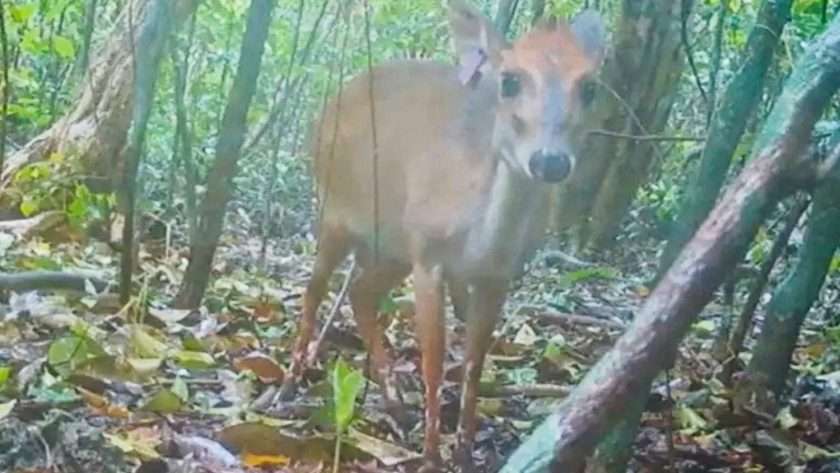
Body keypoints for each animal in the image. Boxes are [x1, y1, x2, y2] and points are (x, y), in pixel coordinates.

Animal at [282, 1, 605, 470]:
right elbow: (434, 360)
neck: (480, 239)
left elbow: (474, 364)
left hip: (391, 245)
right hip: (335, 209)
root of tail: (327, 108)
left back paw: (394, 402)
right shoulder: (429, 256)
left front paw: (466, 452)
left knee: (361, 292)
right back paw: (289, 385)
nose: (550, 161)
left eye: (590, 87)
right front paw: (432, 455)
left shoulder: (496, 277)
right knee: (315, 289)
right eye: (509, 79)